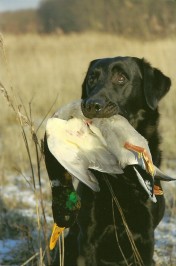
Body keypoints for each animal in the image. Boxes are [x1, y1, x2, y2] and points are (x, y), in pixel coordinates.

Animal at [43, 56, 170, 266]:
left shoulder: (146, 238)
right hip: (69, 245)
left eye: (121, 78)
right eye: (91, 79)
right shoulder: (88, 238)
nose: (91, 105)